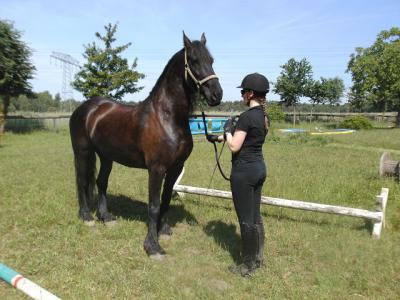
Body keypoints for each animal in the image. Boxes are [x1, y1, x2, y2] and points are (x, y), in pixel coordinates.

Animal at [70, 33, 223, 258]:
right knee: (82, 181)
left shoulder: (175, 168)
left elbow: (166, 200)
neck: (166, 117)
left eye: (211, 60)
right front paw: (152, 246)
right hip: (82, 152)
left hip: (106, 156)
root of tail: (85, 108)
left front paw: (164, 230)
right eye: (194, 60)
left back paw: (106, 217)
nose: (216, 94)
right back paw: (87, 217)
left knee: (101, 182)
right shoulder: (156, 169)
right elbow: (154, 205)